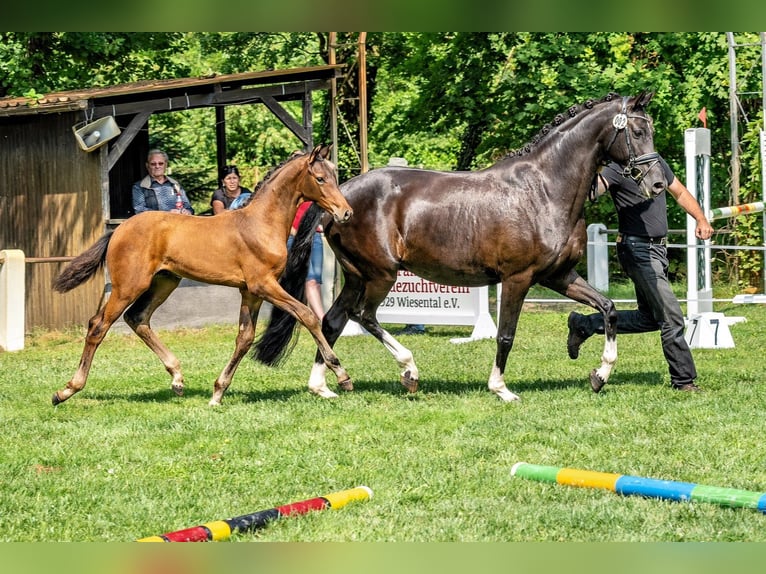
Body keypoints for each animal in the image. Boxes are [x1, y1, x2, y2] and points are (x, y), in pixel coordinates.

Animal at [52, 146, 352, 408]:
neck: (260, 224)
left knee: (137, 318)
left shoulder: (250, 292)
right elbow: (308, 315)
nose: (346, 212)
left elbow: (245, 338)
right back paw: (66, 390)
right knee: (98, 325)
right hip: (128, 285)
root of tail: (118, 230)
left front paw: (218, 392)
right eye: (320, 178)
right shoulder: (263, 285)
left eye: (334, 176)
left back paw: (177, 378)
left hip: (164, 282)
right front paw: (341, 375)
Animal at [256, 92, 664, 402]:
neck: (545, 189)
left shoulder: (558, 276)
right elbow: (505, 335)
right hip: (380, 274)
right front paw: (501, 389)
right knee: (363, 316)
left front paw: (600, 374)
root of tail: (339, 199)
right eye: (638, 131)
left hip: (358, 276)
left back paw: (324, 386)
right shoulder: (518, 278)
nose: (658, 183)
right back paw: (409, 371)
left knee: (333, 319)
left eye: (651, 131)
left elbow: (609, 309)